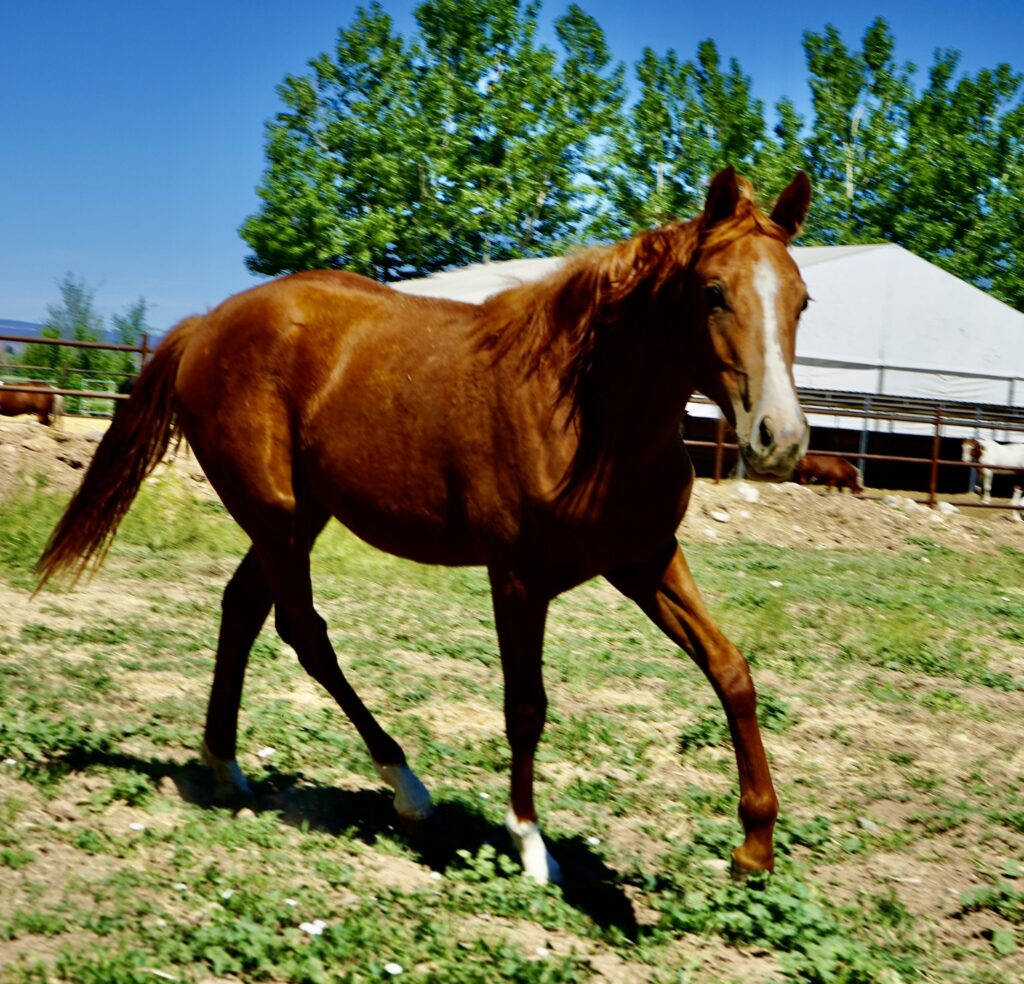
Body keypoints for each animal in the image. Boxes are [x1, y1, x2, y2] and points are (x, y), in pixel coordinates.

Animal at [36, 168, 811, 884]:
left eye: (801, 299)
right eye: (713, 291)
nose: (781, 438)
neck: (585, 412)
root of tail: (207, 324)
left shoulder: (646, 559)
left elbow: (730, 671)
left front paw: (754, 846)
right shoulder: (518, 579)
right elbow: (526, 705)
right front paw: (532, 846)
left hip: (296, 517)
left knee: (243, 609)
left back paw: (225, 765)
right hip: (277, 517)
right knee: (303, 631)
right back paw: (406, 787)